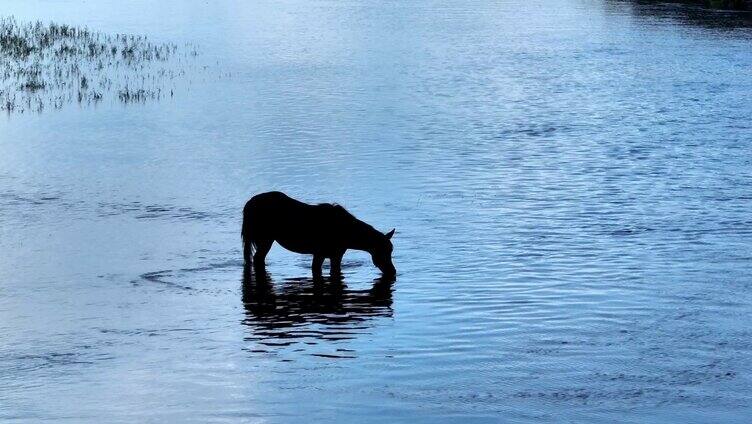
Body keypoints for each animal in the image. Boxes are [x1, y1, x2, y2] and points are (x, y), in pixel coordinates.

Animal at [242, 190, 396, 276]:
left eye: (390, 251)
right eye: (383, 251)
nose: (392, 272)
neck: (346, 230)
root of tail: (249, 204)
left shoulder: (336, 257)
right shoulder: (319, 254)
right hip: (265, 241)